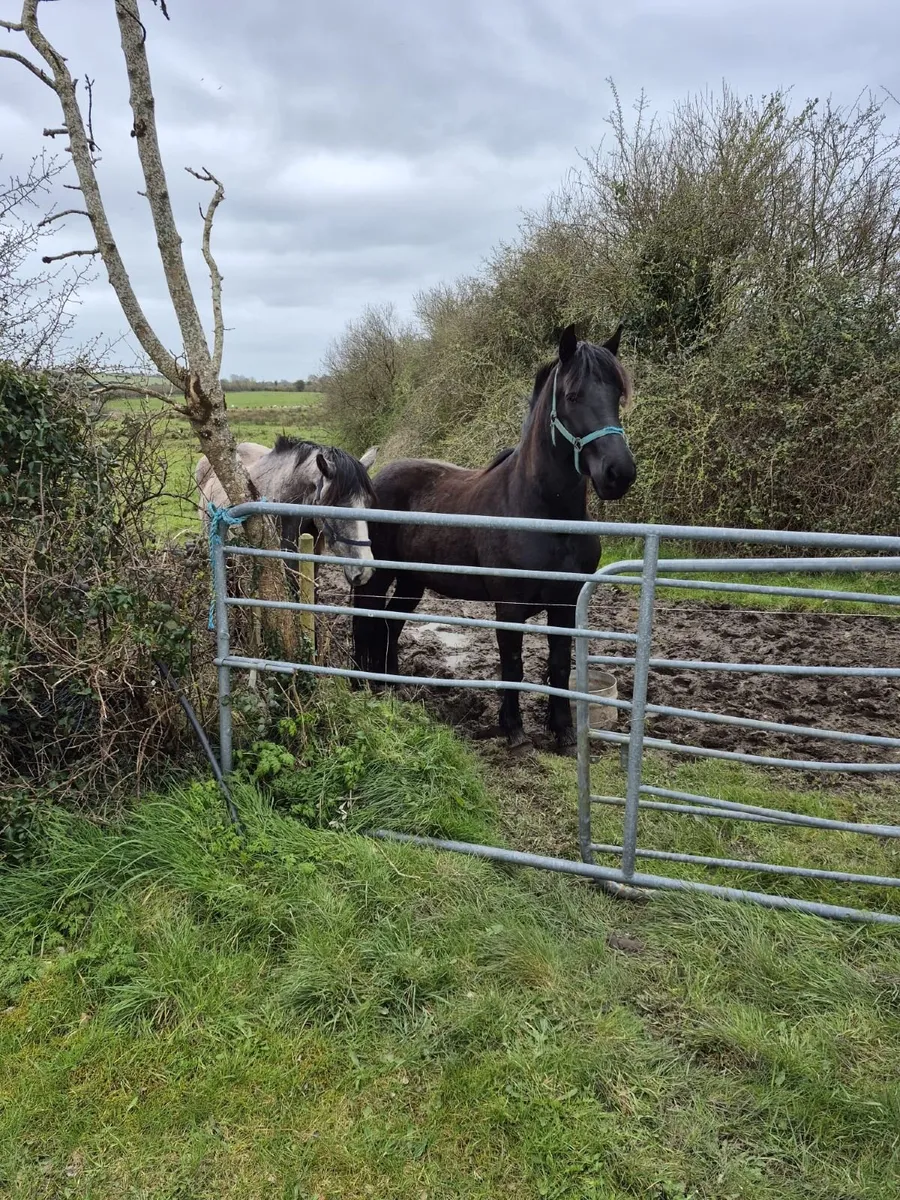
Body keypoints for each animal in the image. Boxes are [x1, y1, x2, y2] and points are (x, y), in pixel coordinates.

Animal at [351, 324, 637, 755]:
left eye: (618, 394)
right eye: (573, 395)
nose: (618, 473)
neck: (542, 513)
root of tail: (374, 477)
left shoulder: (565, 602)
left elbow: (558, 665)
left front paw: (563, 733)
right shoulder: (510, 606)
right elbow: (512, 665)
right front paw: (514, 731)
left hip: (412, 581)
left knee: (389, 624)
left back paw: (394, 688)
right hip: (378, 576)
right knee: (363, 620)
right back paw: (360, 686)